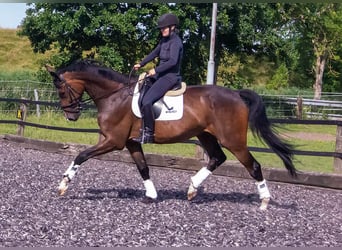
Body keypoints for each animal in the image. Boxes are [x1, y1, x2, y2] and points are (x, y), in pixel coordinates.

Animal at [46, 59, 296, 210]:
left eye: (61, 90)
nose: (71, 116)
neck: (115, 96)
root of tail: (236, 95)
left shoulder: (113, 141)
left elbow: (81, 155)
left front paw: (63, 184)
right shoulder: (130, 142)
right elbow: (143, 168)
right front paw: (151, 195)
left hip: (233, 140)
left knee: (253, 166)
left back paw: (264, 201)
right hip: (205, 135)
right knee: (217, 158)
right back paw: (192, 188)